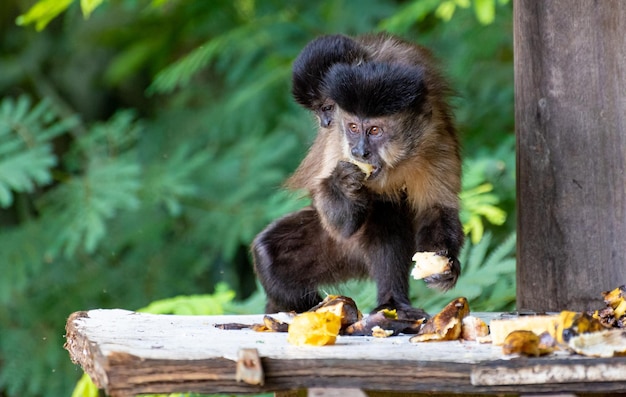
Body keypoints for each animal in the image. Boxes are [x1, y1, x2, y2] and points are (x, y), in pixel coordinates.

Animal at [251, 34, 460, 318]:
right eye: (353, 128)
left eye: (374, 130)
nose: (359, 151)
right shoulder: (339, 140)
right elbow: (339, 221)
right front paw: (342, 187)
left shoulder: (434, 137)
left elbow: (438, 208)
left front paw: (445, 266)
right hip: (340, 249)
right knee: (269, 253)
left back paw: (392, 303)